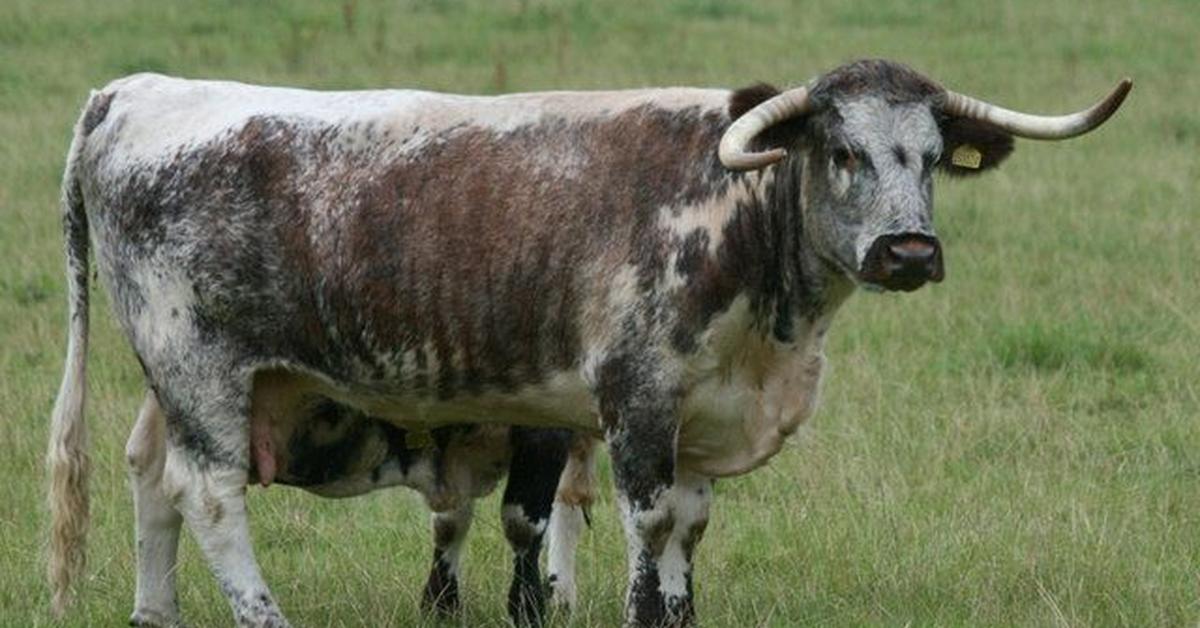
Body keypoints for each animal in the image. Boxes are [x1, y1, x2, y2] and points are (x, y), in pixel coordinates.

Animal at [46, 57, 1128, 624]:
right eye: (841, 150)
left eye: (935, 157)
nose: (909, 250)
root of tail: (134, 90)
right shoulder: (637, 400)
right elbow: (647, 525)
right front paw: (645, 610)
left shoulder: (697, 420)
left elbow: (688, 524)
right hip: (198, 367)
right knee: (210, 496)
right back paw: (260, 615)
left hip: (183, 381)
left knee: (150, 477)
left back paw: (155, 613)